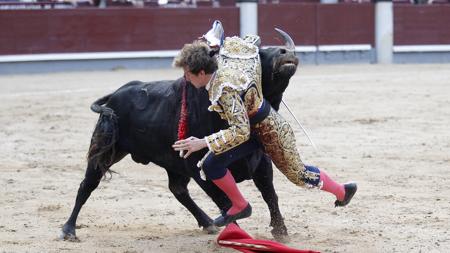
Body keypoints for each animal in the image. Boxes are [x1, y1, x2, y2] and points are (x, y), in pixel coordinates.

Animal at [59, 29, 298, 241]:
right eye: (260, 54)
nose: (286, 52)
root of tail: (114, 95)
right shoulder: (200, 169)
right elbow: (226, 203)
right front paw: (237, 235)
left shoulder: (261, 162)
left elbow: (270, 195)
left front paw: (281, 232)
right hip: (106, 149)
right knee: (88, 184)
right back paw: (69, 229)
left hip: (171, 161)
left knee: (178, 189)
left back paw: (207, 222)